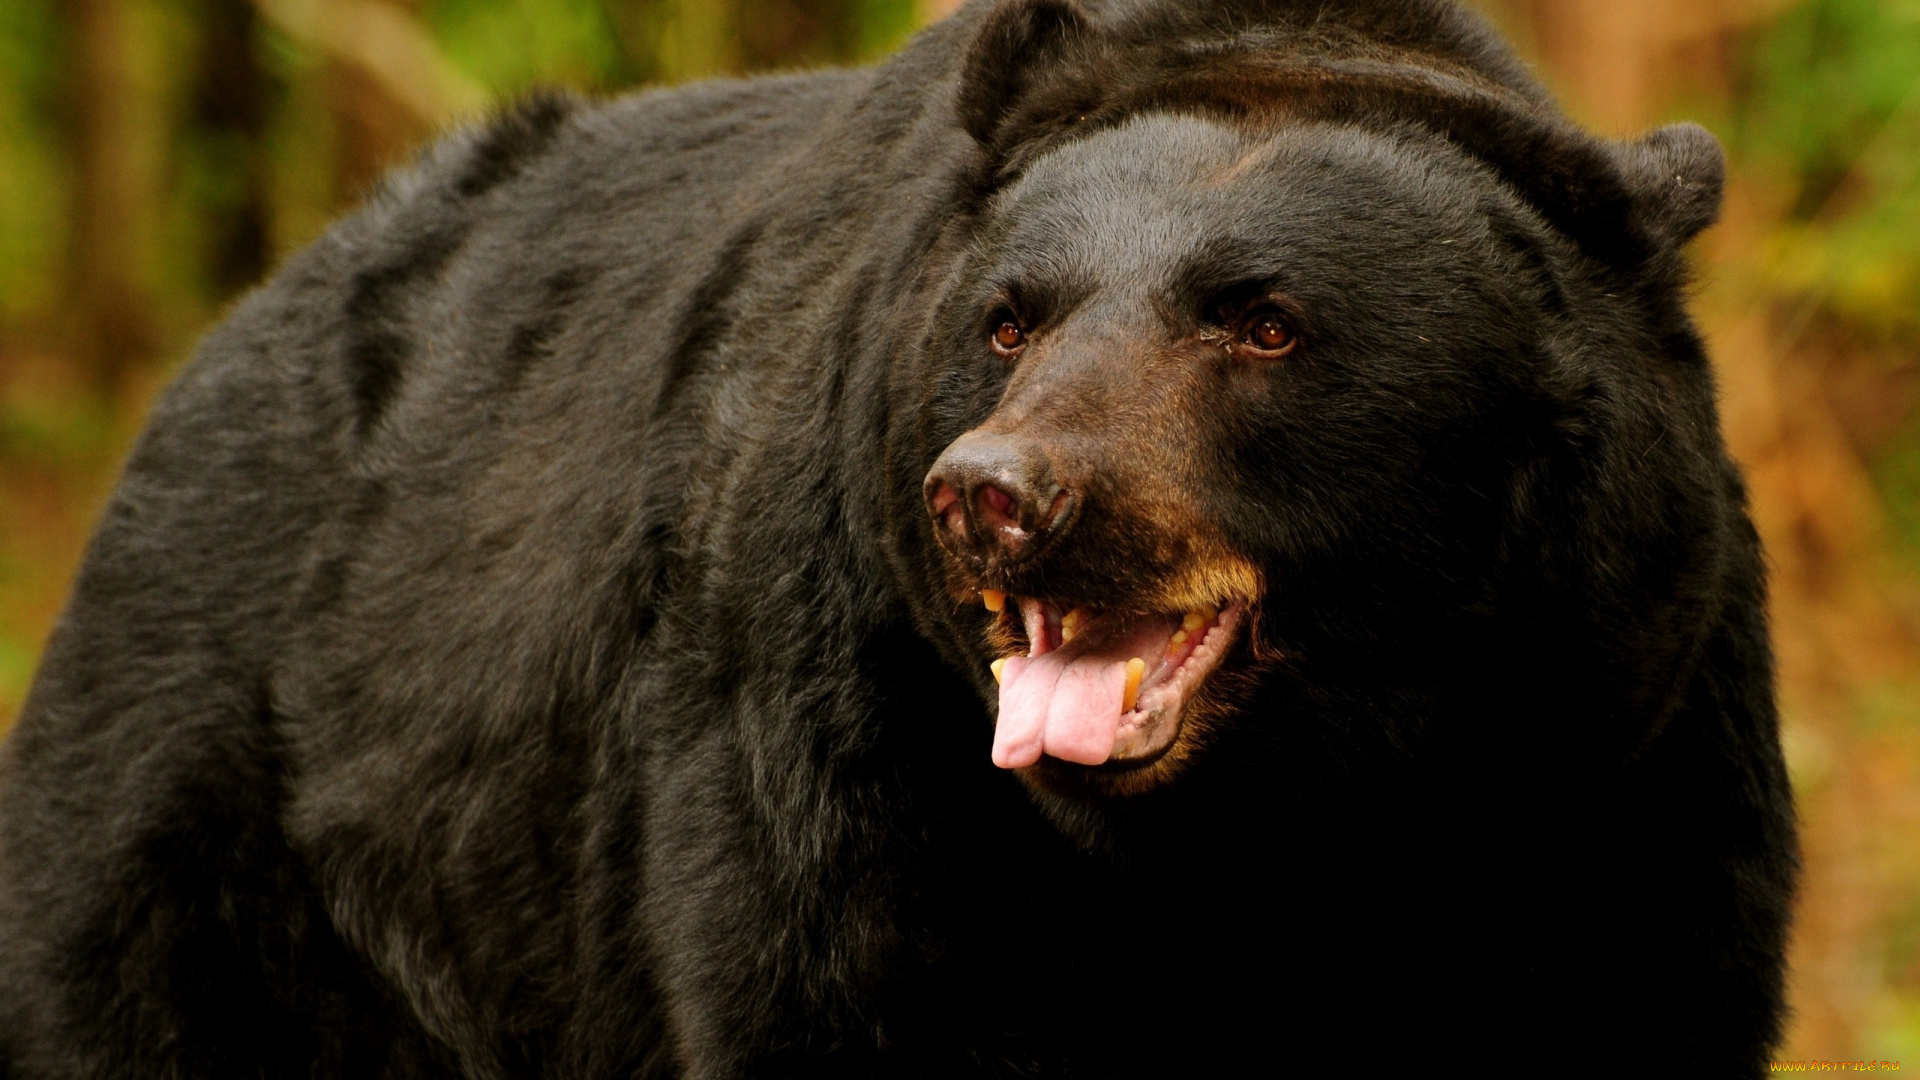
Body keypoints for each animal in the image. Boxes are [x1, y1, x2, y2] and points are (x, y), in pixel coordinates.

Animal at [0, 0, 1796, 1076]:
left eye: (1263, 319)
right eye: (1010, 316)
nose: (997, 493)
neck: (1268, 835)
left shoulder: (1606, 757)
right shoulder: (858, 762)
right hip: (215, 816)